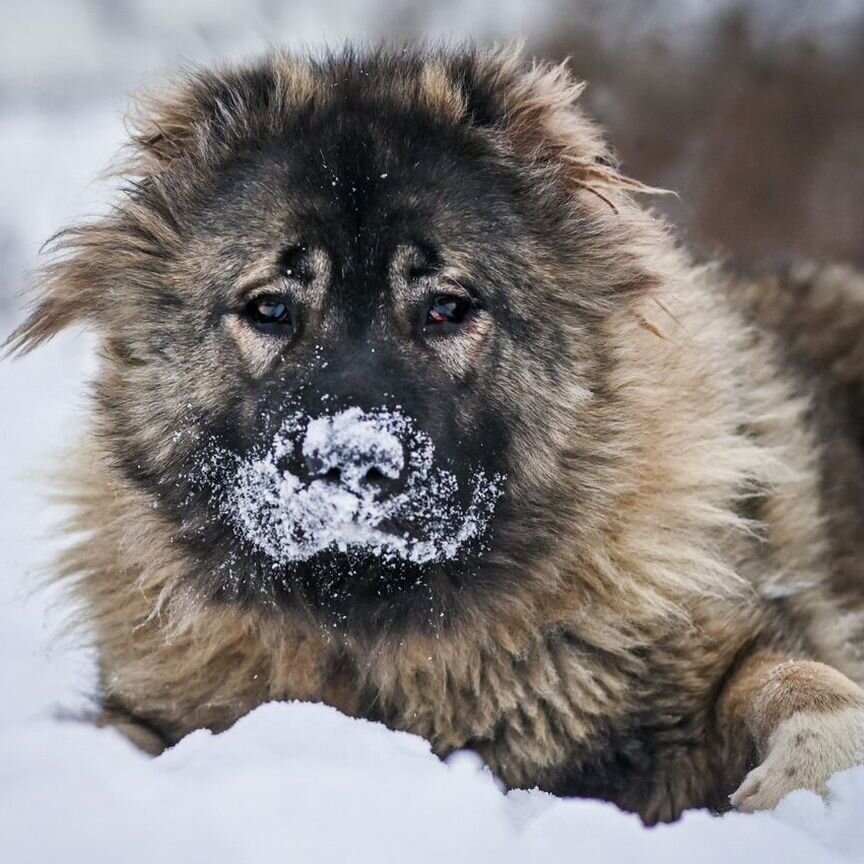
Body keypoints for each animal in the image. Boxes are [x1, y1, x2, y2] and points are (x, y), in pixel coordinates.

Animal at [10, 45, 864, 824]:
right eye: (270, 309)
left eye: (448, 307)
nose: (351, 462)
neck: (372, 621)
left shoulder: (717, 653)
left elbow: (787, 675)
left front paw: (818, 761)